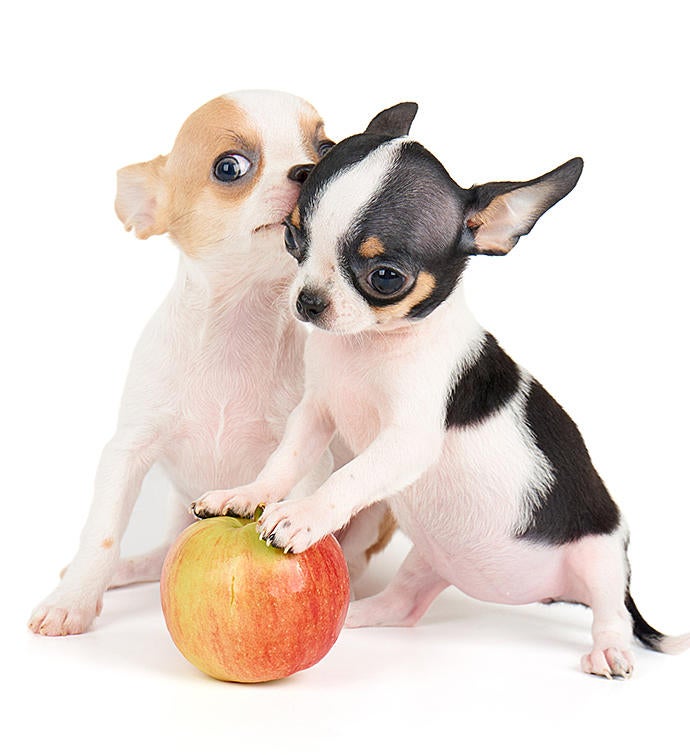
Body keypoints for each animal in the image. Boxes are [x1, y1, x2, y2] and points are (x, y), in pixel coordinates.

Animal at [26, 93, 388, 636]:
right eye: (229, 167)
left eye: (327, 149)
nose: (308, 170)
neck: (234, 330)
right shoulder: (127, 452)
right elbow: (103, 534)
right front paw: (73, 601)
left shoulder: (307, 459)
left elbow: (287, 499)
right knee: (159, 553)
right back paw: (125, 570)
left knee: (358, 556)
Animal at [195, 105, 688, 680]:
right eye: (293, 239)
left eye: (386, 277)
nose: (308, 301)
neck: (368, 347)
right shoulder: (315, 413)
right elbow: (283, 462)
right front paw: (245, 495)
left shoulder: (407, 440)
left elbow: (347, 477)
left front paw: (304, 515)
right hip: (429, 560)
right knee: (405, 606)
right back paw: (359, 612)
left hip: (601, 556)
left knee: (615, 614)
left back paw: (609, 649)